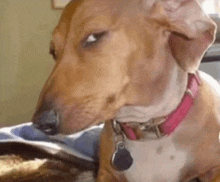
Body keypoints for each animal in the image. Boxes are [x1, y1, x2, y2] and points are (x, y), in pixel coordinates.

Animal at [31, 0, 220, 181]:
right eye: (53, 51)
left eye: (94, 37)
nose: (41, 123)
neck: (147, 129)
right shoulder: (105, 173)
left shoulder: (213, 170)